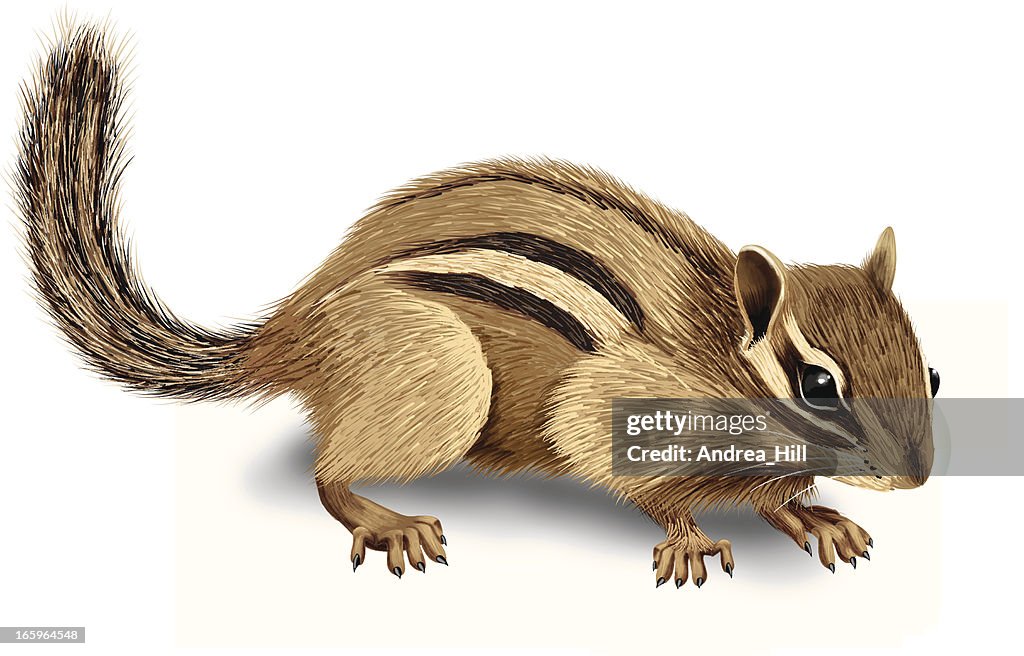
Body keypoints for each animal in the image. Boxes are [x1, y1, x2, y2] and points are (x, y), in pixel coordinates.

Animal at [16, 23, 937, 588]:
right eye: (818, 385)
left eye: (930, 372)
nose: (918, 477)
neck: (718, 357)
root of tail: (293, 326)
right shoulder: (616, 407)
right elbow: (638, 480)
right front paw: (687, 541)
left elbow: (778, 495)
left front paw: (816, 517)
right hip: (437, 374)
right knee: (328, 474)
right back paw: (386, 519)